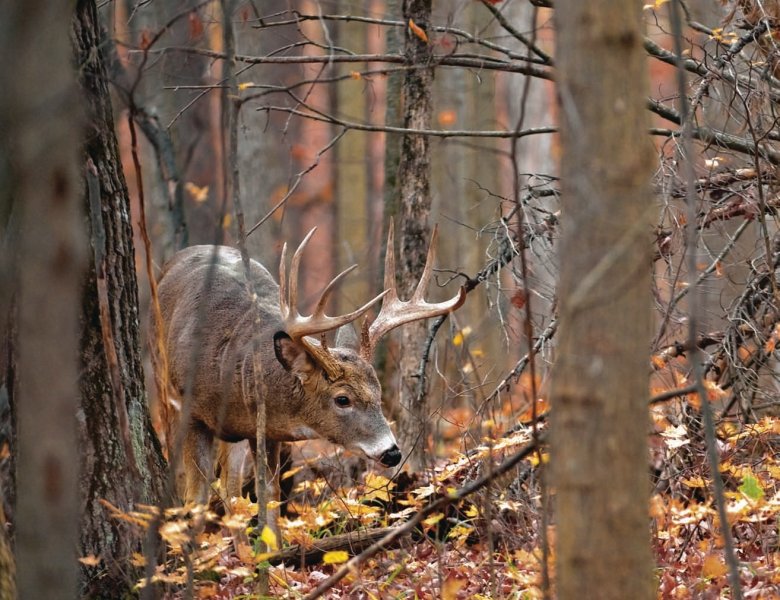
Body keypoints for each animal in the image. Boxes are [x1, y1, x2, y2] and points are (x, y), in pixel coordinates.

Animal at [155, 225, 466, 506]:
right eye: (342, 399)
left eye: (378, 394)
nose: (391, 452)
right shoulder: (190, 412)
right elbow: (195, 497)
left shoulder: (264, 430)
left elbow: (268, 494)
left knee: (232, 487)